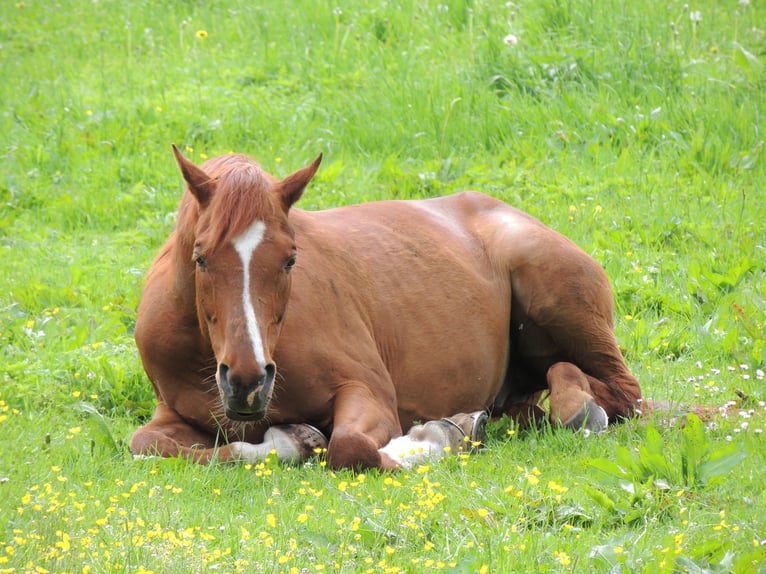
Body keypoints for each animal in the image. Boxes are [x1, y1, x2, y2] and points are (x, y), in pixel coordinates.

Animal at [129, 146, 643, 470]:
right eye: (201, 258)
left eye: (291, 258)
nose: (247, 383)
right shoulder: (175, 416)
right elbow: (146, 442)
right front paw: (293, 439)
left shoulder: (368, 391)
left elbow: (350, 446)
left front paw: (434, 438)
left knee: (619, 392)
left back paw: (578, 408)